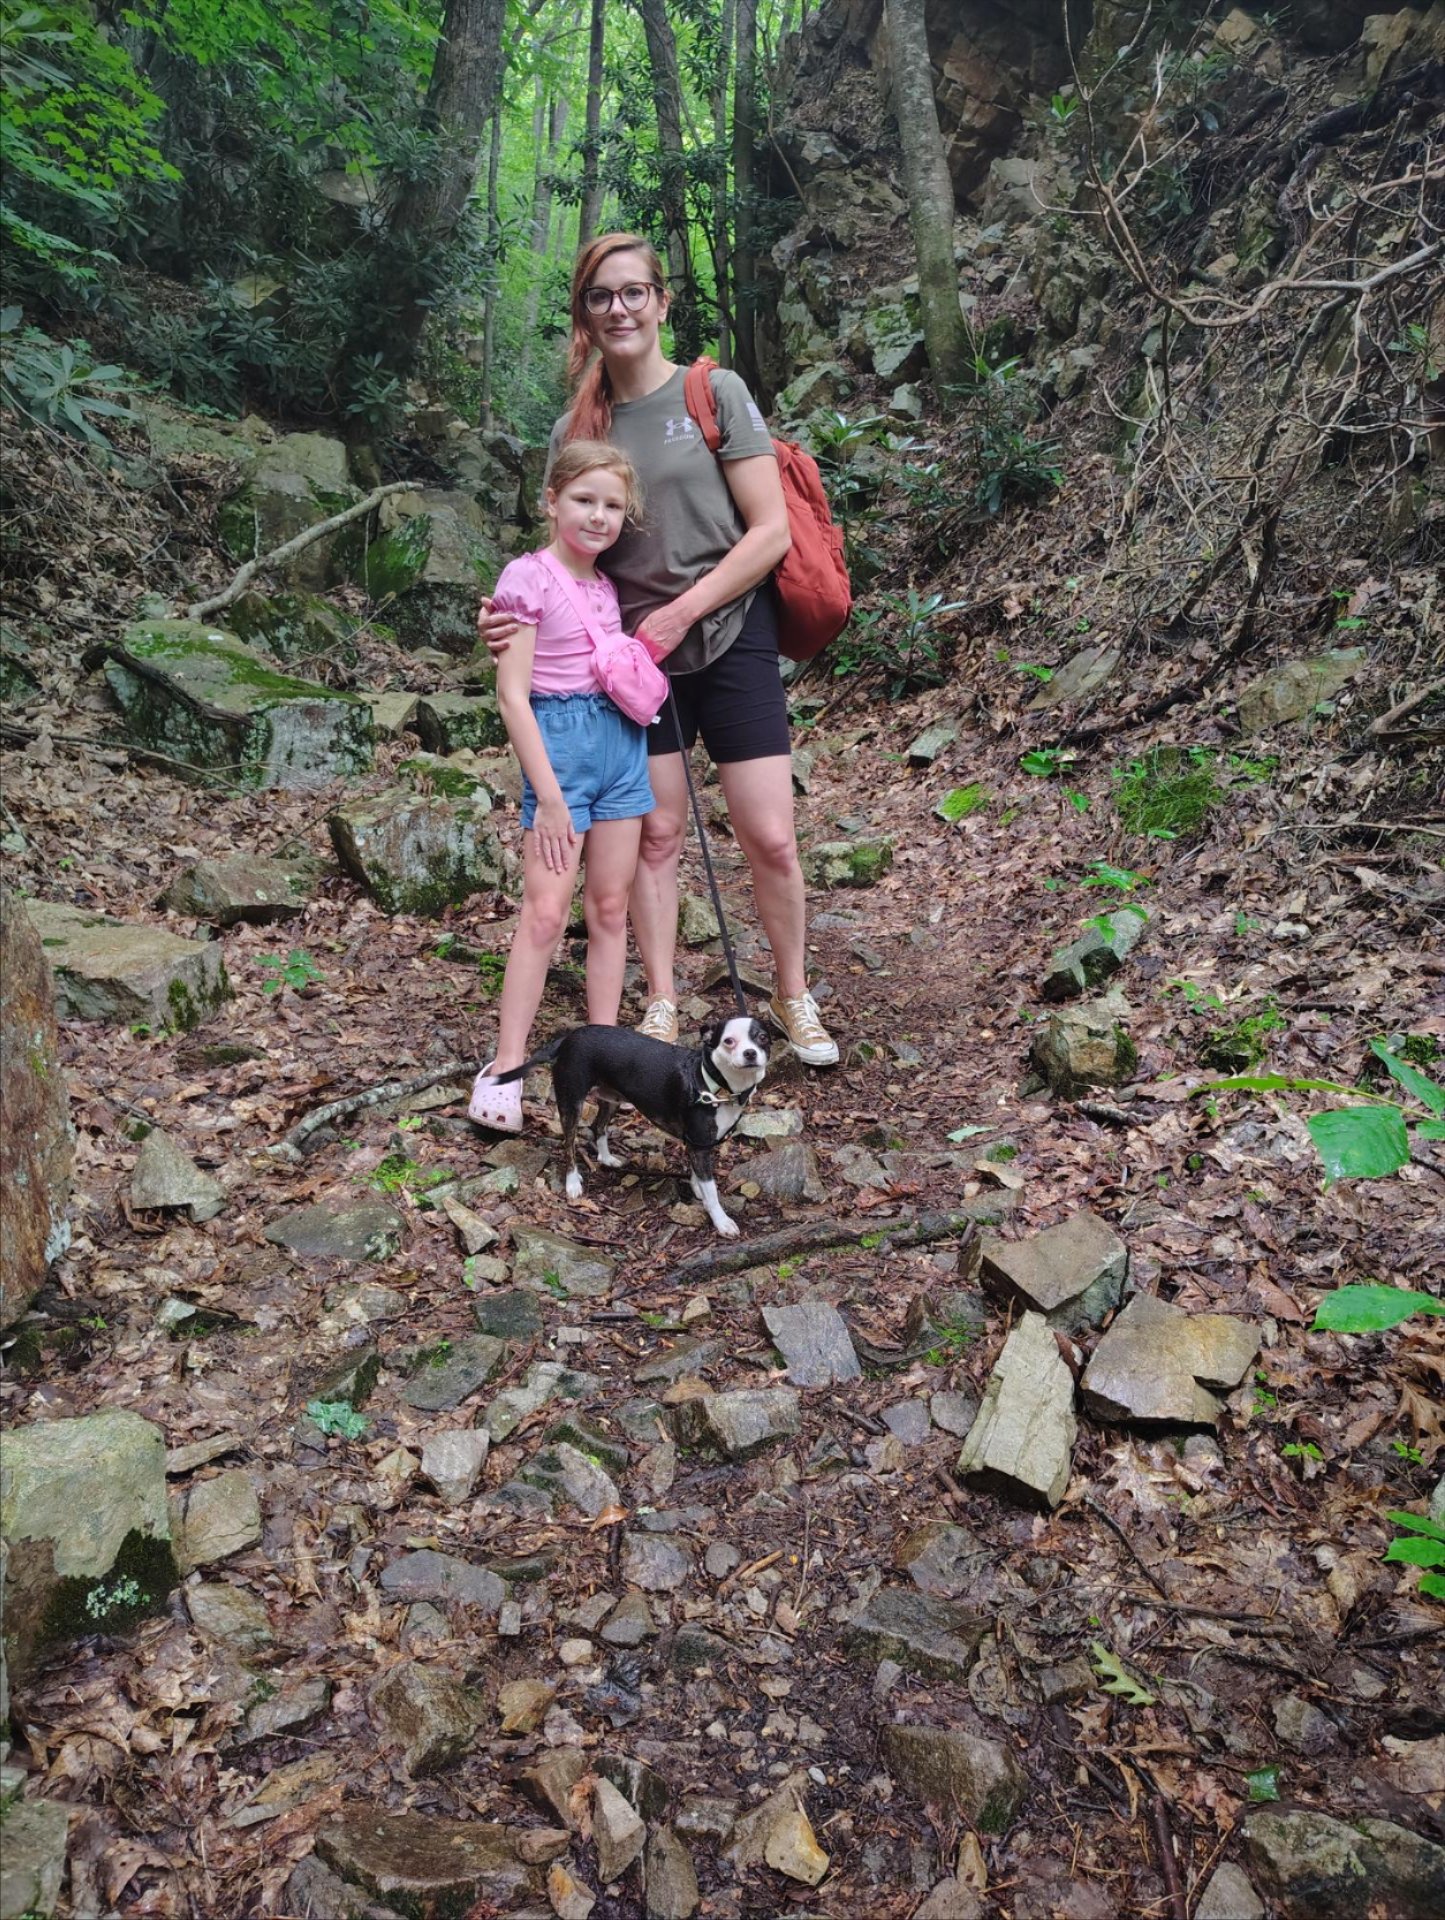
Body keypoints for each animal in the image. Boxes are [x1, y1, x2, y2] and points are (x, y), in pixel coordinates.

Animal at [476, 1015, 771, 1238]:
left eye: (762, 1038)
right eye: (729, 1041)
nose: (750, 1053)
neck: (716, 1084)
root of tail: (567, 1039)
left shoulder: (696, 1143)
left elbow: (700, 1176)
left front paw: (697, 1187)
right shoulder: (699, 1144)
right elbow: (712, 1189)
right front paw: (721, 1220)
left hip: (611, 1099)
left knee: (598, 1127)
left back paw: (606, 1158)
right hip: (572, 1101)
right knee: (569, 1144)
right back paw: (572, 1183)